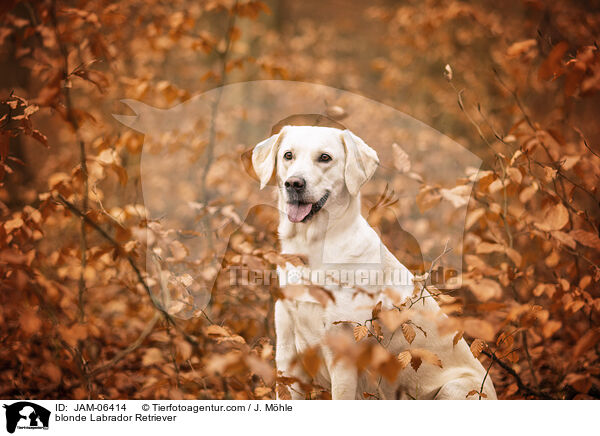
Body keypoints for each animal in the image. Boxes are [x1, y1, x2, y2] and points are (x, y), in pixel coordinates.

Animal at [250, 122, 496, 398]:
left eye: (325, 157)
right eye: (288, 155)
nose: (294, 183)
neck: (311, 249)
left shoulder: (343, 358)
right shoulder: (287, 354)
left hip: (455, 388)